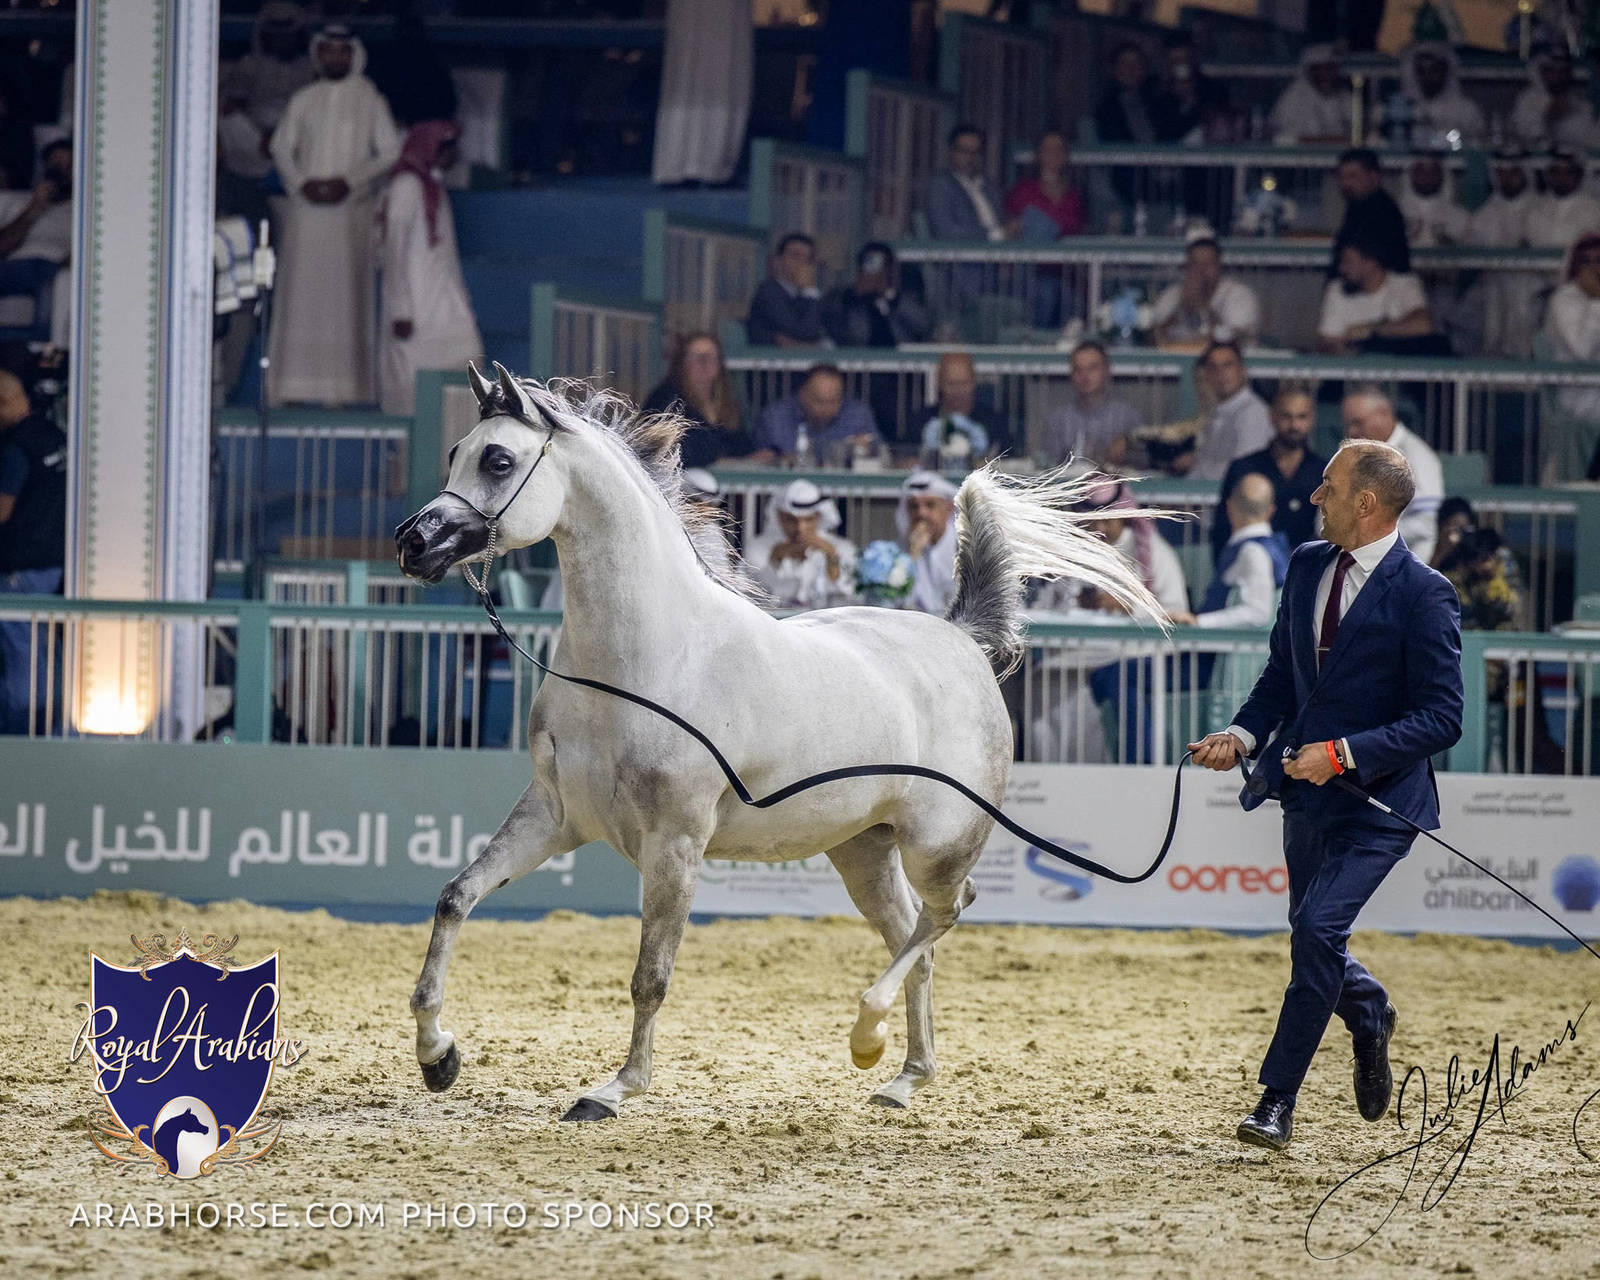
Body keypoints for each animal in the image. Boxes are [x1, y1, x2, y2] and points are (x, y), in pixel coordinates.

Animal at [395, 362, 1164, 1120]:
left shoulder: (675, 842)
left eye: (499, 459)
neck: (646, 658)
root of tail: (961, 638)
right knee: (914, 936)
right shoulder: (554, 817)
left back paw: (867, 1035)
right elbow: (456, 897)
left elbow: (651, 975)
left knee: (948, 912)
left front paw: (614, 1090)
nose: (413, 543)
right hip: (863, 851)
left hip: (937, 843)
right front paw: (438, 1057)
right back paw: (902, 1077)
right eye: (458, 452)